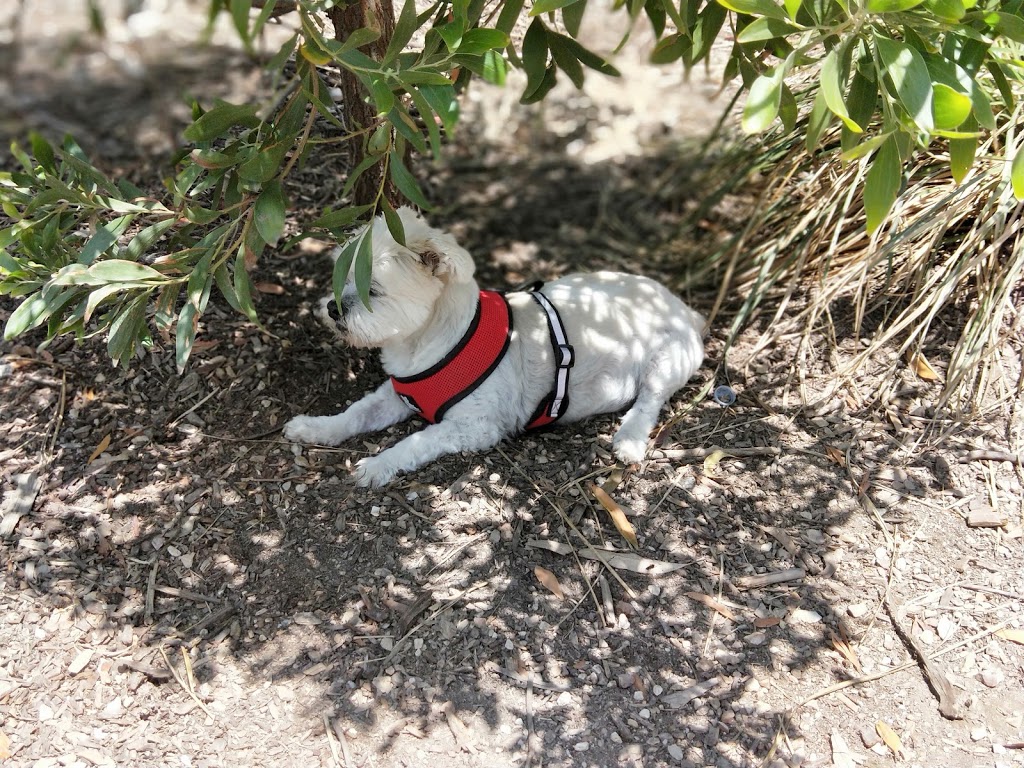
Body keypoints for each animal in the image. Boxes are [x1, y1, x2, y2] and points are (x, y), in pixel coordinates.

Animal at [284, 210, 708, 487]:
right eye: (341, 276)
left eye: (372, 289)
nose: (332, 307)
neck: (428, 342)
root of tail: (682, 307)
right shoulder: (396, 394)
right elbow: (355, 413)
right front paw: (315, 427)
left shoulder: (476, 427)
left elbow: (414, 441)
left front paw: (377, 464)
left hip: (665, 360)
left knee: (650, 401)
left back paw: (630, 439)